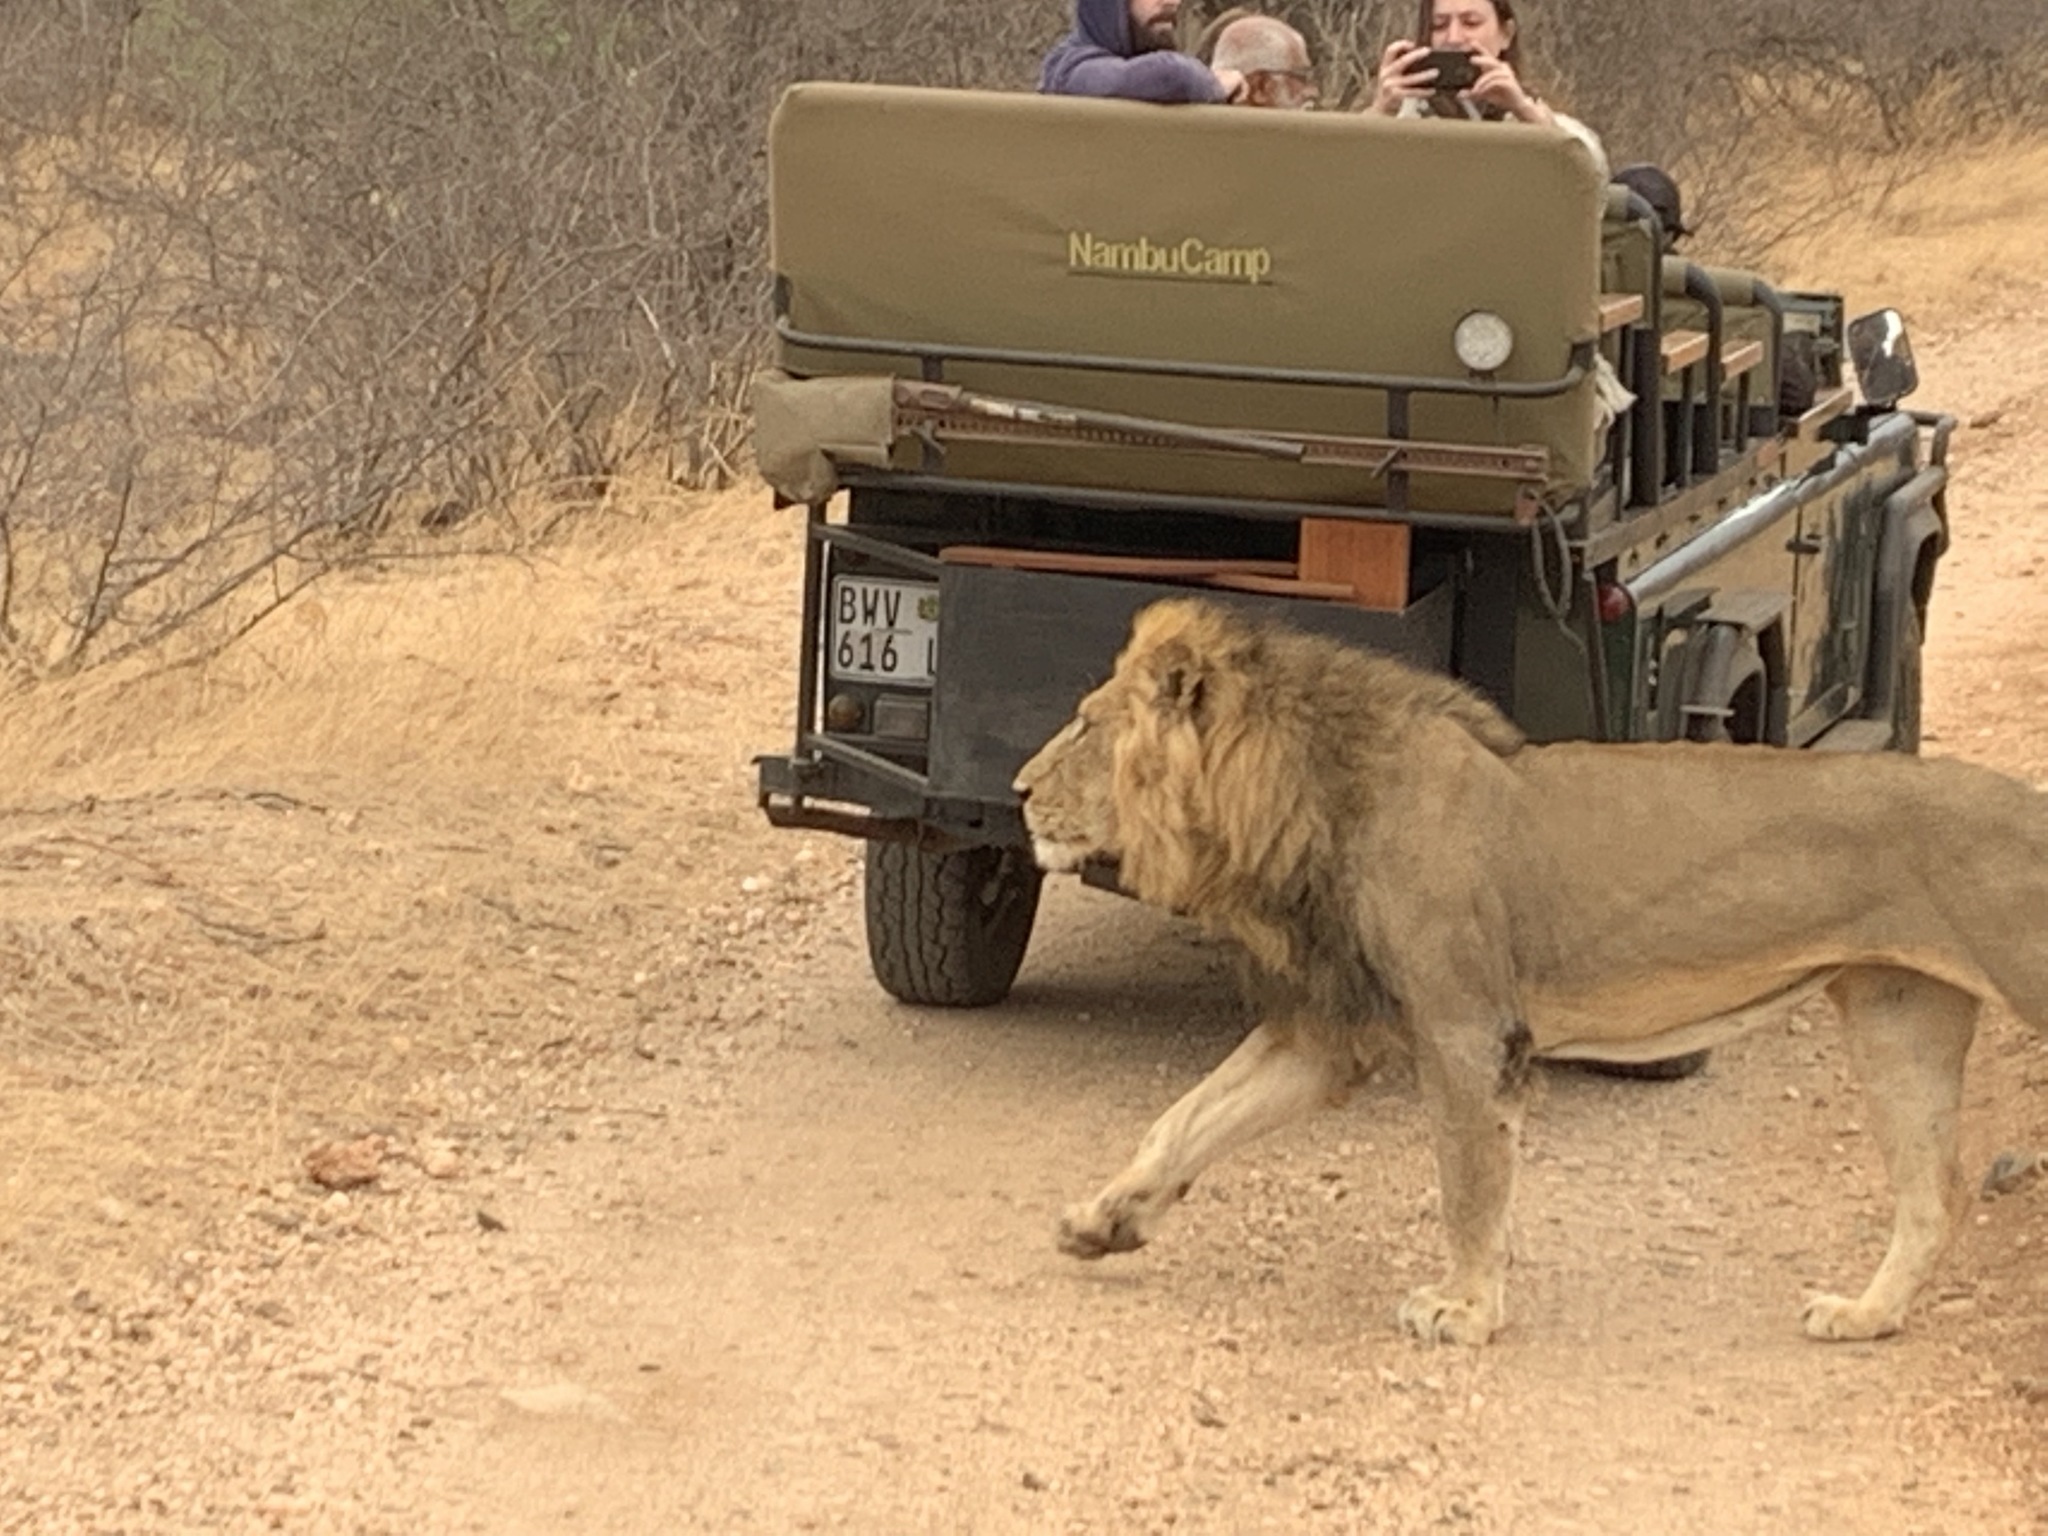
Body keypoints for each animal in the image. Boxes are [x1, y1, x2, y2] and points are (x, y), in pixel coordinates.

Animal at [1011, 598, 2048, 1343]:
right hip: (1898, 1019)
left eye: (1086, 727)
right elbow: (1186, 1118)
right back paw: (1866, 1317)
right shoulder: (1333, 1029)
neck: (1302, 799)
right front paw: (1103, 1222)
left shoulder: (1465, 1028)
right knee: (1934, 1194)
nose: (1017, 791)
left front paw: (1464, 1311)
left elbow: (1467, 1181)